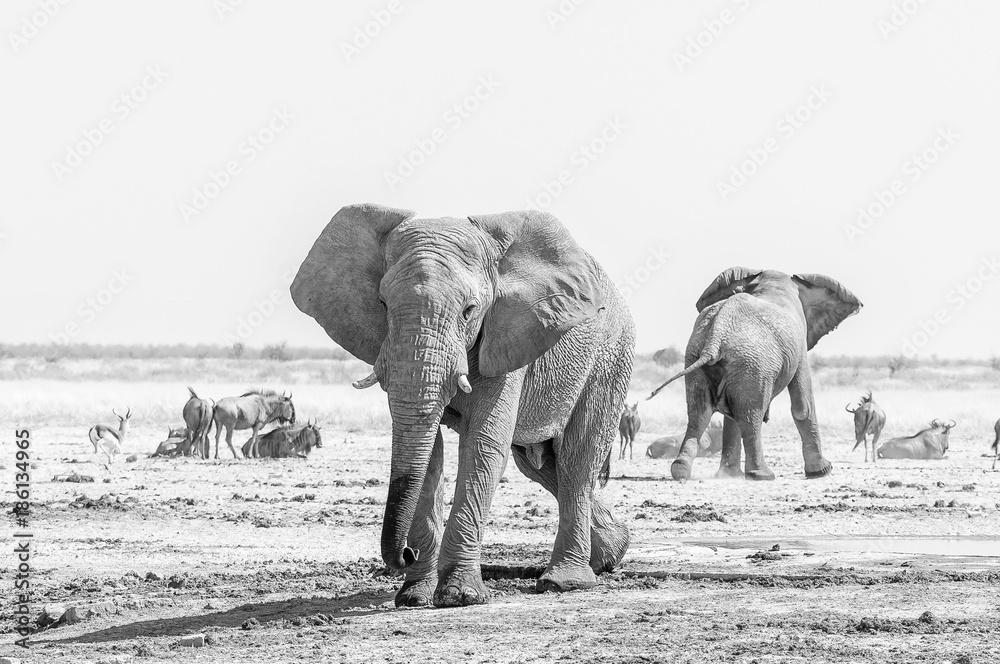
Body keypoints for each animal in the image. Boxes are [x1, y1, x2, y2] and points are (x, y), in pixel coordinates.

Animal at [290, 202, 632, 608]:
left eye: (470, 310)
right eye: (383, 304)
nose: (405, 554)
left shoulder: (505, 332)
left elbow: (483, 444)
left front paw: (459, 596)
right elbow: (427, 452)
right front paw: (414, 598)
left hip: (611, 356)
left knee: (575, 459)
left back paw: (564, 582)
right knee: (542, 466)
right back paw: (609, 555)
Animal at [648, 268, 860, 480]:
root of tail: (717, 334)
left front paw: (730, 475)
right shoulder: (799, 344)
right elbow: (802, 406)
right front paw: (822, 471)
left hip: (702, 357)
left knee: (699, 414)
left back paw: (681, 470)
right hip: (753, 365)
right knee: (751, 416)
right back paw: (762, 475)